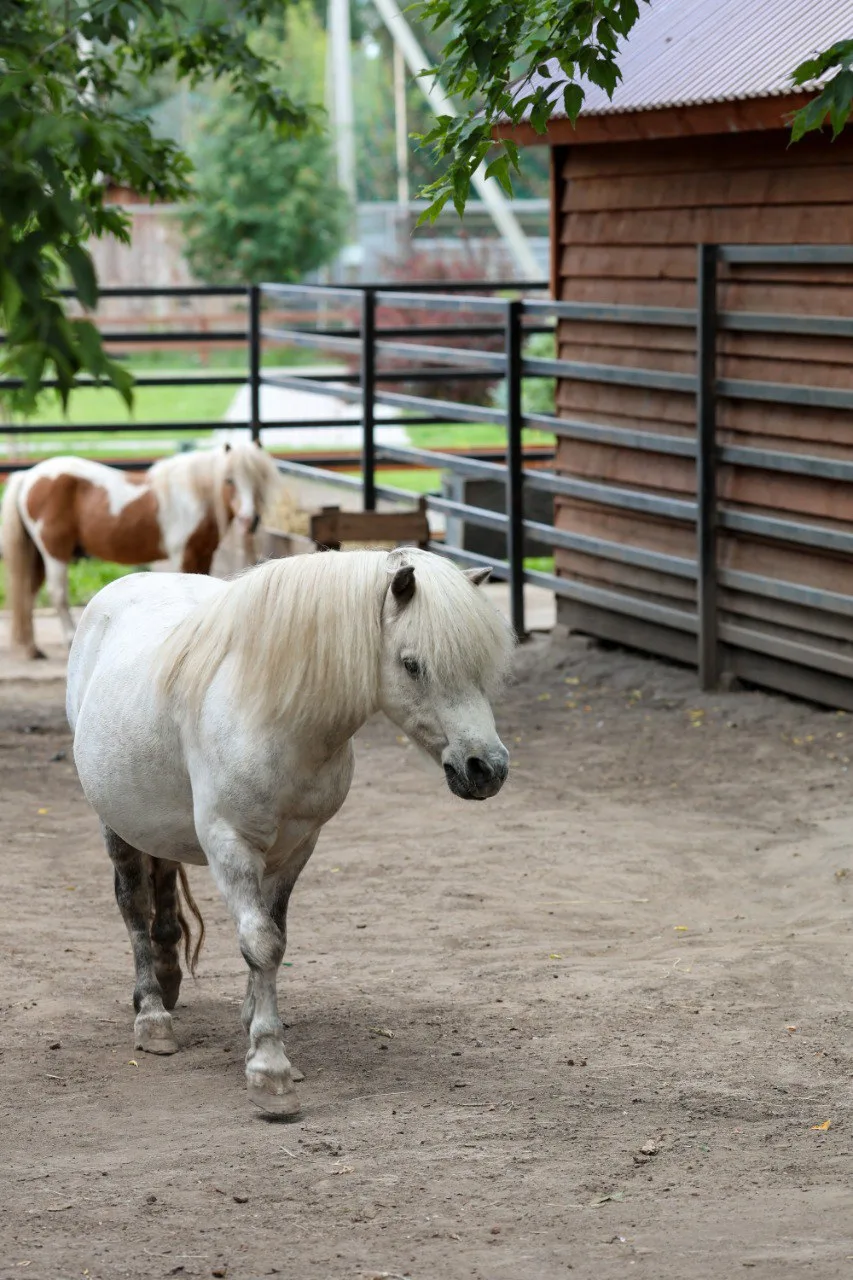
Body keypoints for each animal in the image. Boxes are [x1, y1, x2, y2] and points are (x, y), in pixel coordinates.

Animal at [1, 441, 286, 658]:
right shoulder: (183, 555)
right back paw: (67, 638)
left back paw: (31, 648)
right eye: (229, 480)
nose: (250, 520)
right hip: (54, 553)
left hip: (37, 556)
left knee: (27, 593)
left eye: (259, 479)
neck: (194, 496)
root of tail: (28, 476)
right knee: (57, 594)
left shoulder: (204, 553)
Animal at [66, 547, 513, 1116]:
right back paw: (152, 1015)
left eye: (480, 668)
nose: (487, 768)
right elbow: (260, 943)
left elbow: (275, 935)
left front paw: (257, 1023)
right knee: (132, 903)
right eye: (412, 664)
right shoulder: (230, 844)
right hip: (114, 821)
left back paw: (167, 982)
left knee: (162, 880)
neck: (276, 716)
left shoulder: (298, 846)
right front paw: (269, 1068)